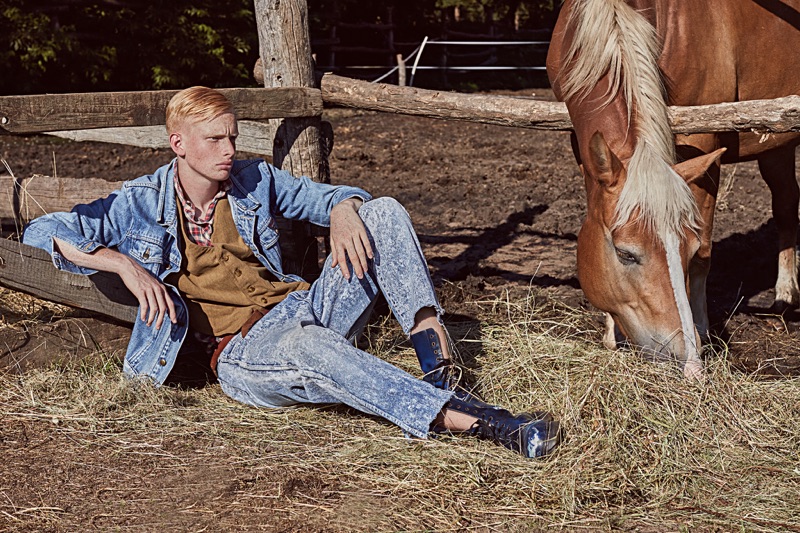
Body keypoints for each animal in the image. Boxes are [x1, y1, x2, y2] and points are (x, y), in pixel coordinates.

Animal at [548, 0, 800, 376]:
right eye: (625, 253)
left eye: (689, 250)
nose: (684, 357)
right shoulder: (581, 145)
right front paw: (611, 334)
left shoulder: (704, 140)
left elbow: (706, 252)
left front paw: (702, 333)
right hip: (775, 145)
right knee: (785, 203)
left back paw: (784, 294)